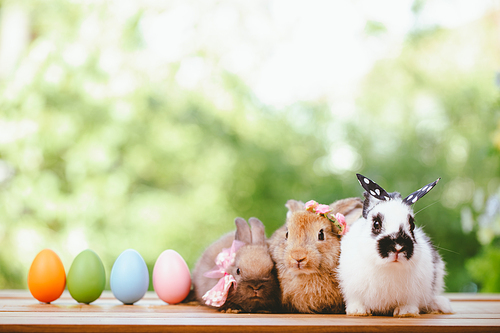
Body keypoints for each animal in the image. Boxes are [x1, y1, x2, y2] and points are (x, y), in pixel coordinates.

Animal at [340, 174, 454, 316]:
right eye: (376, 224)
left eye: (412, 225)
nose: (398, 247)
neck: (388, 267)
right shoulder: (352, 290)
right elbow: (356, 301)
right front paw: (358, 311)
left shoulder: (413, 294)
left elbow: (409, 303)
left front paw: (406, 312)